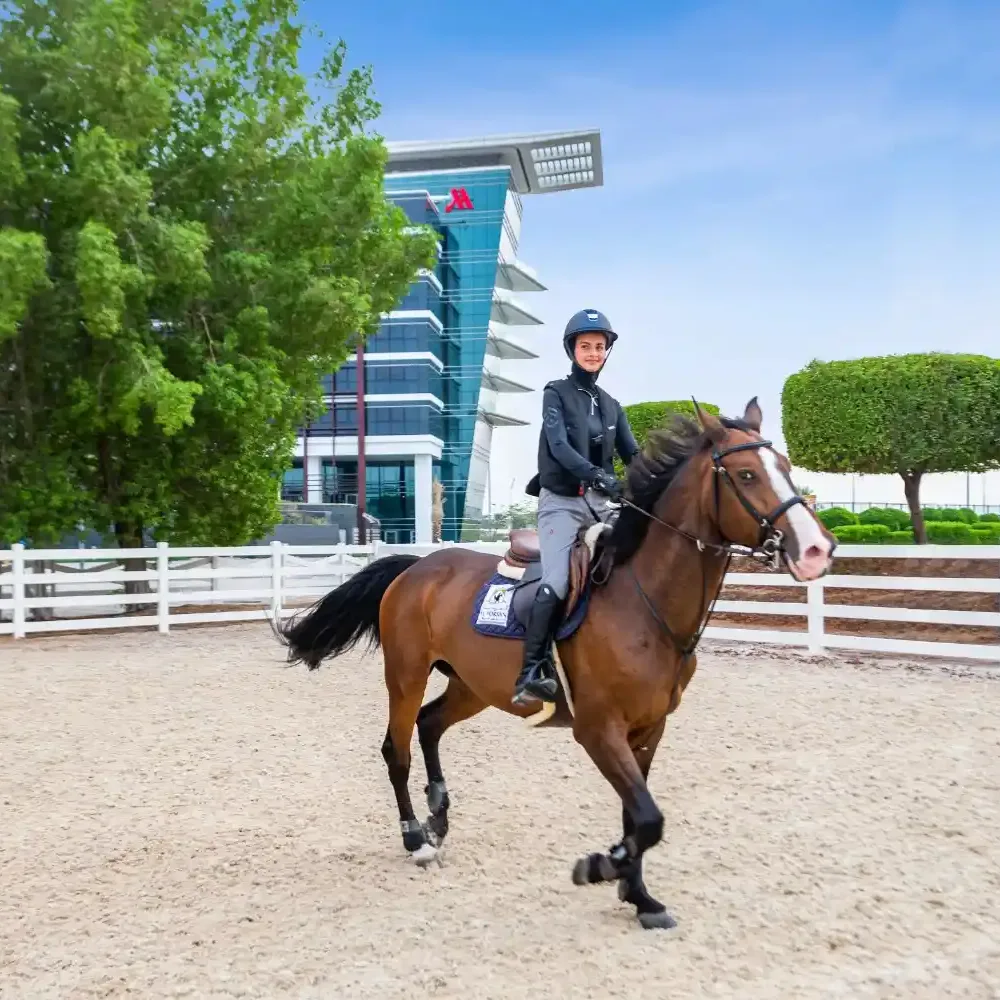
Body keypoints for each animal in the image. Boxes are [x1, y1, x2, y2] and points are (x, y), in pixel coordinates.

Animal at [276, 398, 837, 930]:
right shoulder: (598, 730)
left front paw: (639, 895)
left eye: (785, 466)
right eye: (745, 475)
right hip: (406, 675)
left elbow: (638, 817)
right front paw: (602, 866)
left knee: (430, 724)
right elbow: (647, 819)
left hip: (473, 687)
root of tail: (417, 567)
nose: (817, 549)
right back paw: (417, 838)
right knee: (397, 749)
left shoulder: (648, 730)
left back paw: (438, 814)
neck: (642, 601)